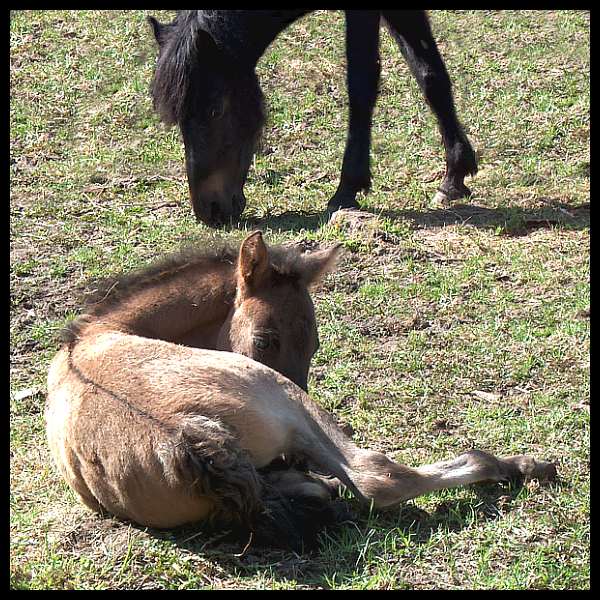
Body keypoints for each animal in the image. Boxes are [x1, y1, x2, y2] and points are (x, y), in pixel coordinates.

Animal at [44, 232, 556, 552]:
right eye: (265, 339)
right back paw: (519, 466)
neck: (93, 335)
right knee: (377, 478)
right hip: (289, 400)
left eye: (315, 342)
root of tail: (186, 436)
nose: (291, 461)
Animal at [148, 11, 476, 227]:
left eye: (215, 109)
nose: (210, 210)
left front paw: (346, 188)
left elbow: (362, 84)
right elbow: (429, 75)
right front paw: (454, 175)